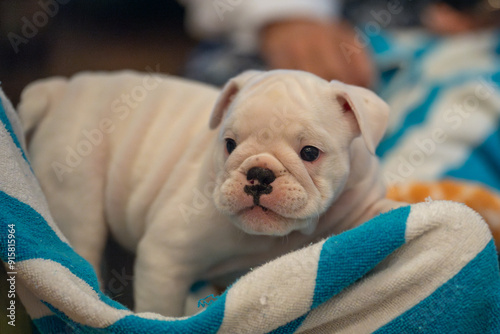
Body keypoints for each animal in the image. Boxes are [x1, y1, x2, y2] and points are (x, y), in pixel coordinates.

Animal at [18, 70, 402, 316]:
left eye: (310, 152)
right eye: (229, 144)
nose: (259, 173)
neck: (280, 236)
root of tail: (62, 89)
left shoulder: (360, 201)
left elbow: (381, 211)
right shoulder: (166, 258)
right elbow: (162, 309)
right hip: (77, 194)